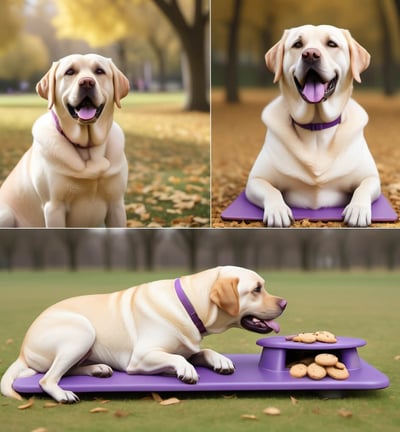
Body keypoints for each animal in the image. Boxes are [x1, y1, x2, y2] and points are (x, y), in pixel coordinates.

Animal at [0, 54, 130, 228]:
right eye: (70, 72)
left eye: (99, 71)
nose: (87, 82)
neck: (86, 147)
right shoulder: (54, 207)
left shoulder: (116, 204)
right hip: (6, 214)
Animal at [0, 264, 288, 404]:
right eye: (257, 289)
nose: (285, 303)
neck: (188, 304)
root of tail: (22, 350)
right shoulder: (140, 358)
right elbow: (177, 358)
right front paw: (186, 370)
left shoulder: (189, 346)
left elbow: (201, 351)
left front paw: (220, 359)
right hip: (81, 331)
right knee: (47, 378)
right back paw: (63, 395)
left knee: (65, 371)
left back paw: (98, 369)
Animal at [245, 24, 380, 228]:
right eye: (297, 44)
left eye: (331, 44)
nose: (310, 54)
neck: (316, 126)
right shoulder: (255, 180)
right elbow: (272, 190)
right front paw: (278, 210)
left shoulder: (371, 178)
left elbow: (362, 188)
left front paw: (357, 209)